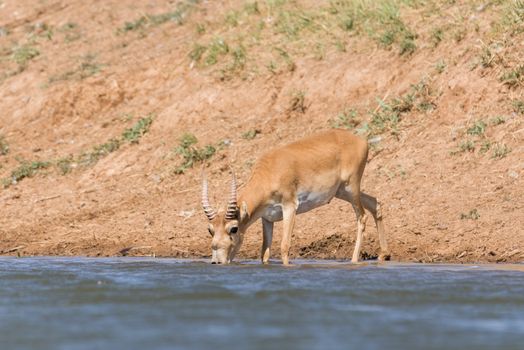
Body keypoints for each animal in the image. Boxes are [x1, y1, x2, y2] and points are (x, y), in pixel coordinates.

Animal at [202, 130, 388, 264]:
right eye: (210, 229)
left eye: (233, 228)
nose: (217, 262)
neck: (270, 172)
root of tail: (362, 141)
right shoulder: (267, 218)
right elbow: (265, 252)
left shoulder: (290, 207)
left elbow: (284, 246)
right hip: (342, 192)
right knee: (375, 203)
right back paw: (383, 254)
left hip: (351, 188)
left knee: (362, 217)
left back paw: (354, 260)